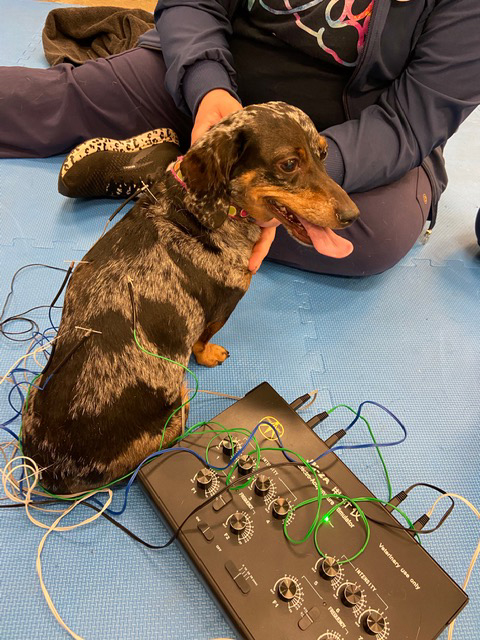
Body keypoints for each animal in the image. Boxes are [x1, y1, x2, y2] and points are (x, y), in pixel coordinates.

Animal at [23, 100, 360, 492]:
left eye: (323, 153)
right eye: (289, 164)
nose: (352, 215)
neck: (200, 212)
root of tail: (56, 473)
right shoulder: (221, 307)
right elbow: (202, 340)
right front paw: (209, 355)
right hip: (180, 402)